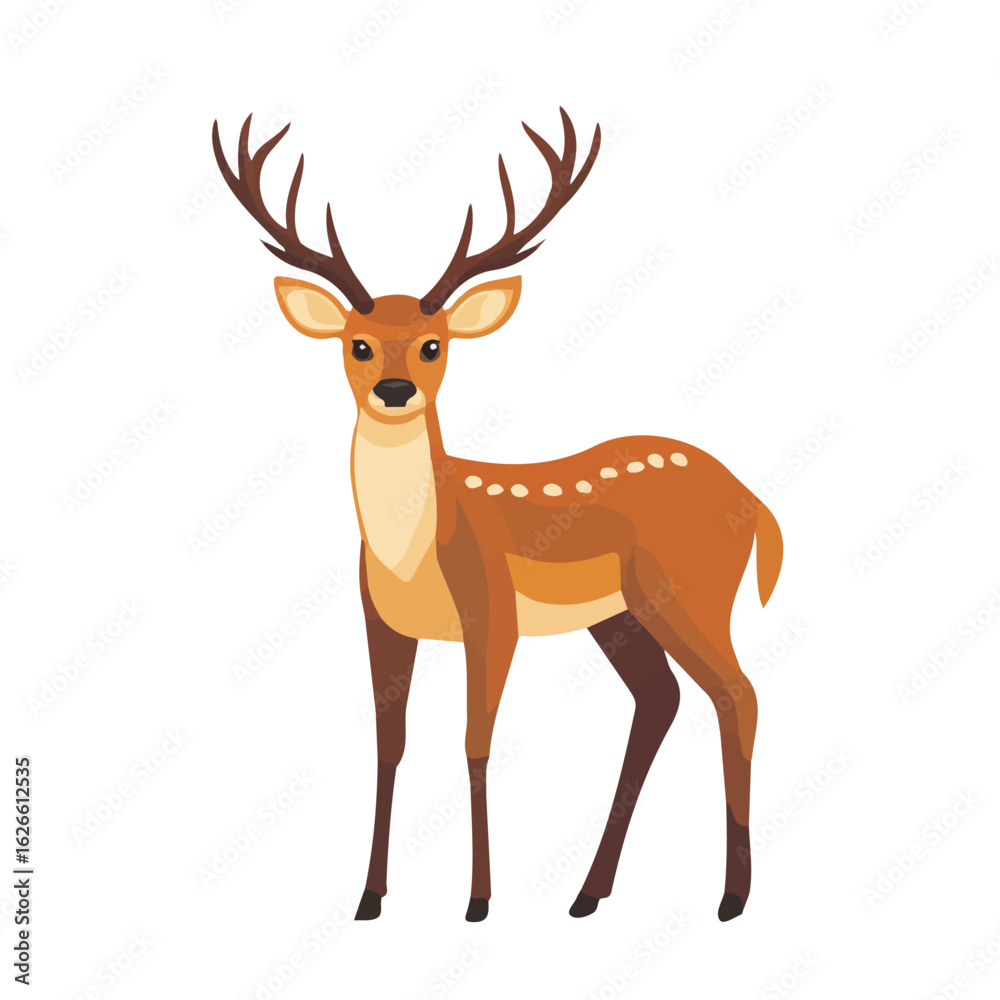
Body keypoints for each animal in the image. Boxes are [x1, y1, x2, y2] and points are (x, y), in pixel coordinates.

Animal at [212, 109, 783, 924]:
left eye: (432, 344)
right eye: (357, 343)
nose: (392, 390)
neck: (413, 552)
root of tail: (755, 502)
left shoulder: (492, 612)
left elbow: (475, 741)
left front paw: (479, 898)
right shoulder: (378, 619)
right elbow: (390, 743)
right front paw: (370, 895)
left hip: (689, 588)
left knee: (739, 694)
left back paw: (731, 897)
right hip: (621, 614)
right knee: (660, 700)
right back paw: (589, 894)